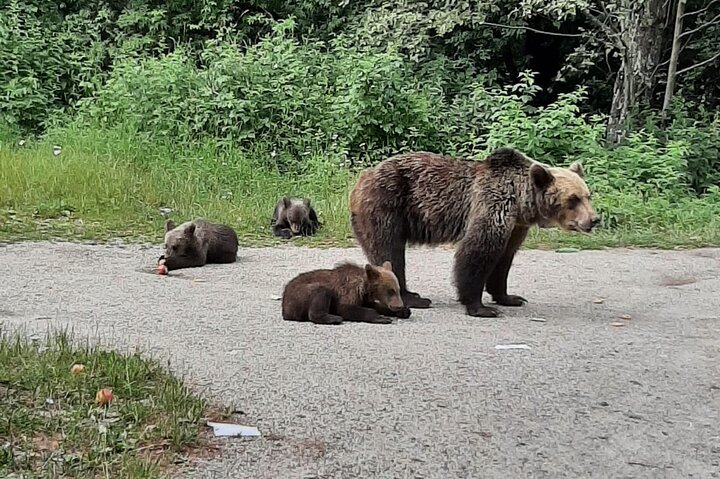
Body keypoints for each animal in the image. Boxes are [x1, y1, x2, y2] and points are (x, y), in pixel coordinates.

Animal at [281, 261, 411, 325]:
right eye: (390, 290)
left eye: (398, 289)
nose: (399, 305)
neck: (365, 288)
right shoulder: (350, 290)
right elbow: (345, 308)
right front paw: (380, 317)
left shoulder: (364, 298)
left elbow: (374, 305)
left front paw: (405, 311)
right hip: (301, 294)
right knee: (321, 292)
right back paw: (333, 318)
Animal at [349, 147, 600, 318]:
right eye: (573, 199)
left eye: (587, 195)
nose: (594, 219)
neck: (522, 203)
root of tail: (362, 178)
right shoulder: (493, 205)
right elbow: (477, 253)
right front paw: (480, 307)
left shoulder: (516, 226)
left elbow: (504, 259)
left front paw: (510, 297)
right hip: (387, 206)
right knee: (390, 250)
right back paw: (413, 298)